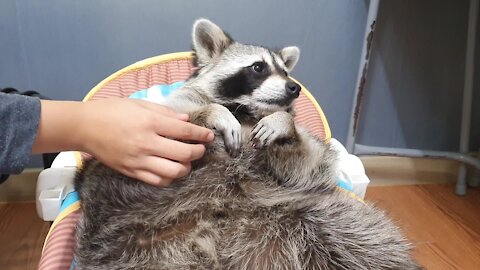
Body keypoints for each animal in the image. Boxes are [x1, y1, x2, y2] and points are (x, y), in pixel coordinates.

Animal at [74, 19, 420, 270]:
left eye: (286, 71)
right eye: (258, 67)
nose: (294, 88)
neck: (247, 112)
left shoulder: (293, 174)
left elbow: (305, 164)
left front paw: (283, 123)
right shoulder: (171, 115)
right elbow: (178, 121)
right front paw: (212, 113)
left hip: (318, 217)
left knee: (368, 242)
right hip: (137, 242)